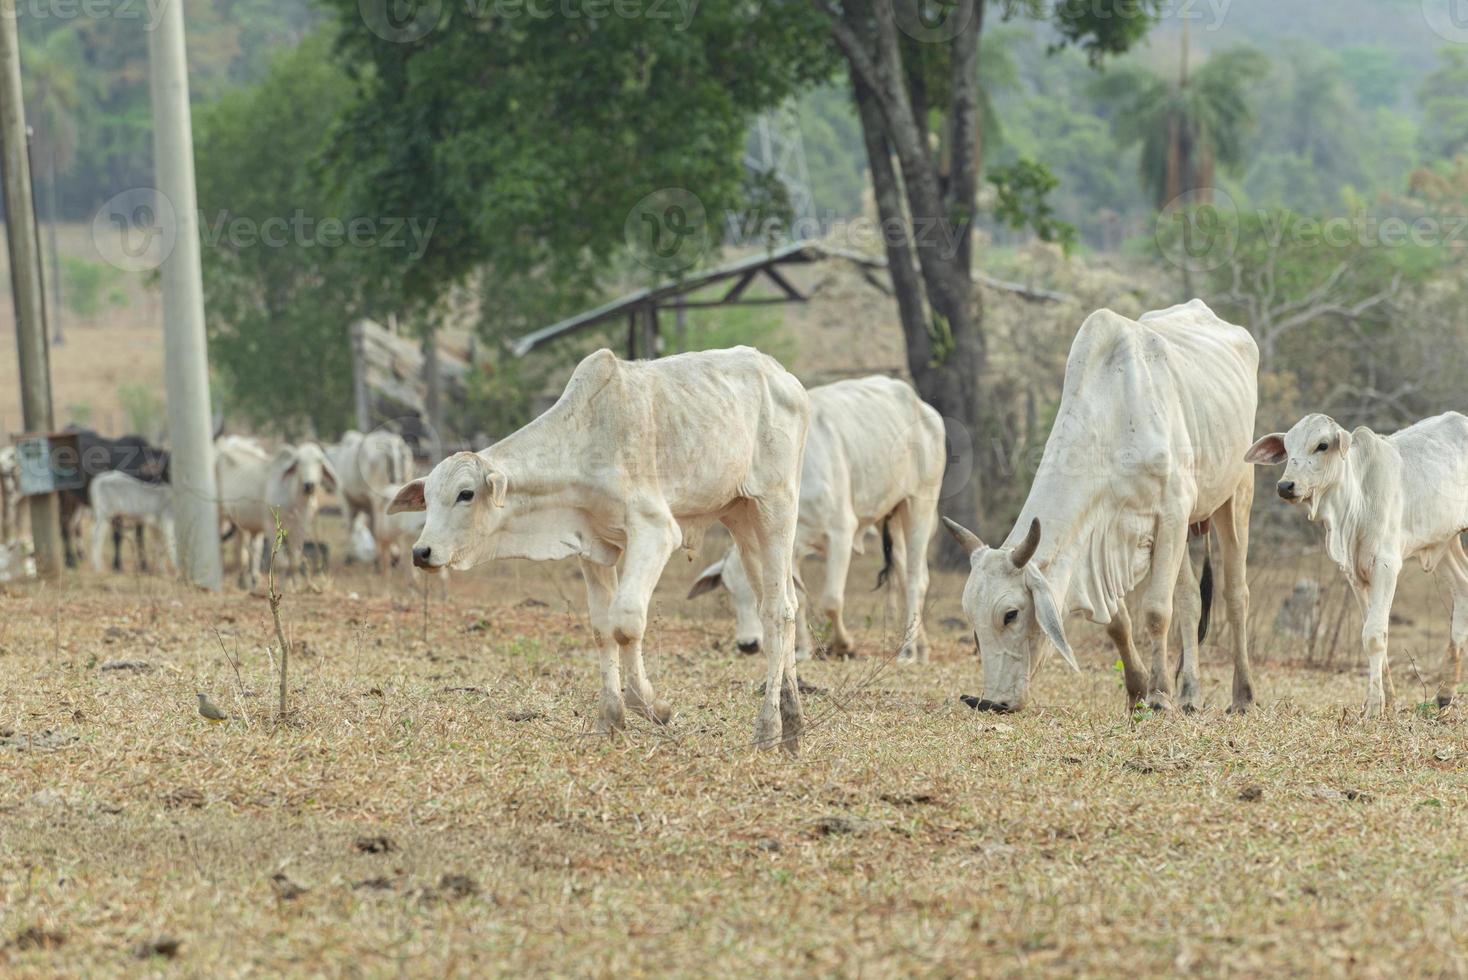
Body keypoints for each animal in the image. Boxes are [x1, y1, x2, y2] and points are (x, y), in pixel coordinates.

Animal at [214, 437, 337, 589]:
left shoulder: (300, 529)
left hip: (239, 523)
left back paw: (245, 581)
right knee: (221, 546)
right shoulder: (271, 527)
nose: (309, 485)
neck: (295, 500)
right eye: (298, 462)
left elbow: (294, 561)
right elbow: (283, 563)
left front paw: (295, 586)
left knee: (242, 551)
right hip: (218, 514)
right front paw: (283, 586)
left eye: (319, 461)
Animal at [384, 347, 810, 757]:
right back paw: (792, 725)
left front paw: (653, 706)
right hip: (740, 518)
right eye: (427, 498)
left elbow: (626, 621)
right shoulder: (594, 546)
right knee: (781, 604)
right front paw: (610, 721)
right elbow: (603, 629)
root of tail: (784, 378)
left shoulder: (655, 531)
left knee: (777, 612)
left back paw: (768, 729)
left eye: (466, 493)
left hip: (775, 507)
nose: (422, 552)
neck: (585, 441)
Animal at [684, 378, 939, 663]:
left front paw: (844, 644)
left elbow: (832, 600)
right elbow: (800, 598)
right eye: (728, 589)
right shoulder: (790, 543)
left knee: (916, 578)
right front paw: (803, 650)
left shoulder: (841, 533)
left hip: (920, 504)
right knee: (905, 575)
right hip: (890, 515)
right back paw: (921, 647)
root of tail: (920, 404)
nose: (748, 644)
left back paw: (908, 650)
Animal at [945, 299, 1256, 712]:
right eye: (972, 618)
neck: (1114, 415)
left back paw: (1243, 696)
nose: (992, 703)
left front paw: (1159, 695)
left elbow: (1157, 611)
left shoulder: (1172, 513)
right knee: (1190, 598)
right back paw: (1190, 694)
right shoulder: (1105, 540)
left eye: (1010, 614)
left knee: (1236, 595)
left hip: (1236, 494)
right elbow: (1117, 621)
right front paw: (1139, 690)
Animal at [1244, 410, 1468, 715]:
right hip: (1444, 543)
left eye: (1322, 445)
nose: (1285, 486)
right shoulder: (1354, 573)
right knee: (1462, 588)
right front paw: (1388, 701)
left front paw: (1374, 707)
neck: (1354, 502)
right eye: (1288, 449)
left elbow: (1373, 634)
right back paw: (1446, 693)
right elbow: (1371, 632)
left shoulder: (1386, 566)